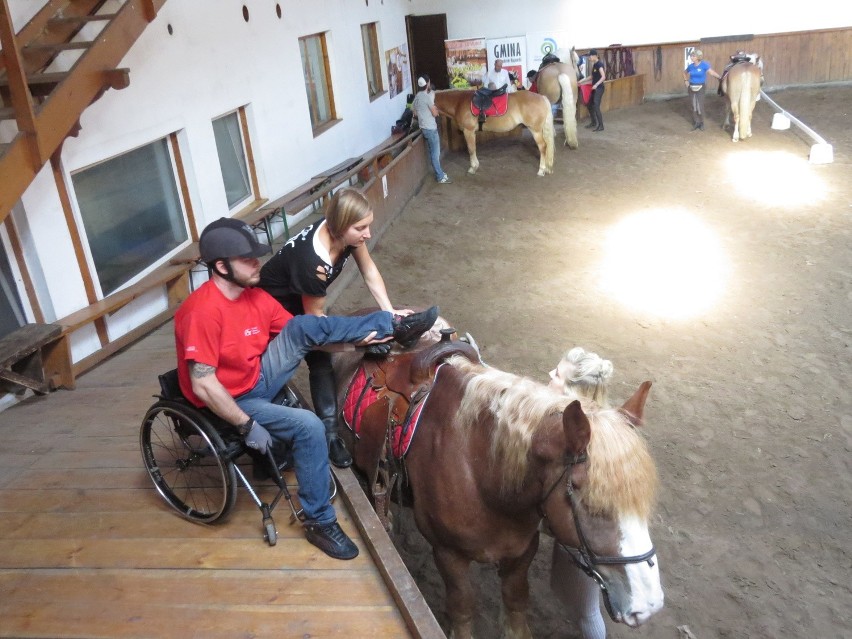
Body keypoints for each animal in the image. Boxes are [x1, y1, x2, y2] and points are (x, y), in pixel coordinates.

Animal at [332, 324, 664, 639]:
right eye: (589, 504)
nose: (648, 604)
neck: (480, 473)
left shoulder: (522, 550)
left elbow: (516, 602)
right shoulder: (448, 554)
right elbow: (462, 606)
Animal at [432, 89, 560, 176]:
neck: (459, 102)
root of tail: (542, 97)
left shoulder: (469, 131)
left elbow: (471, 149)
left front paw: (473, 168)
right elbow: (473, 149)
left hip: (535, 130)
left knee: (543, 147)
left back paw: (541, 170)